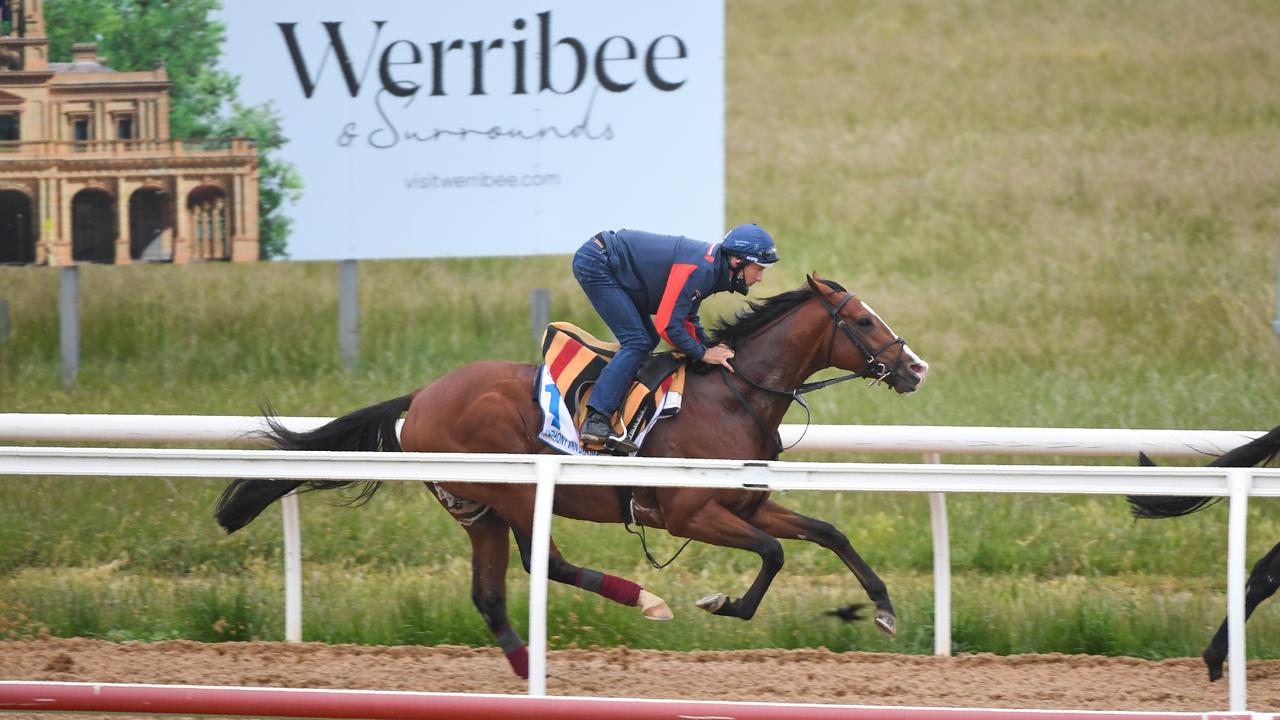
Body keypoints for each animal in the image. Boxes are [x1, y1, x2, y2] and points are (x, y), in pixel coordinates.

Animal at [212, 271, 931, 676]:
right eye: (862, 320)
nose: (916, 368)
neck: (732, 397)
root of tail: (420, 398)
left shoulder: (746, 503)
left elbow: (827, 533)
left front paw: (885, 609)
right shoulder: (690, 513)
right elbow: (775, 553)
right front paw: (723, 603)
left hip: (478, 509)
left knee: (494, 593)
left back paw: (534, 665)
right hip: (511, 489)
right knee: (542, 564)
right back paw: (643, 601)